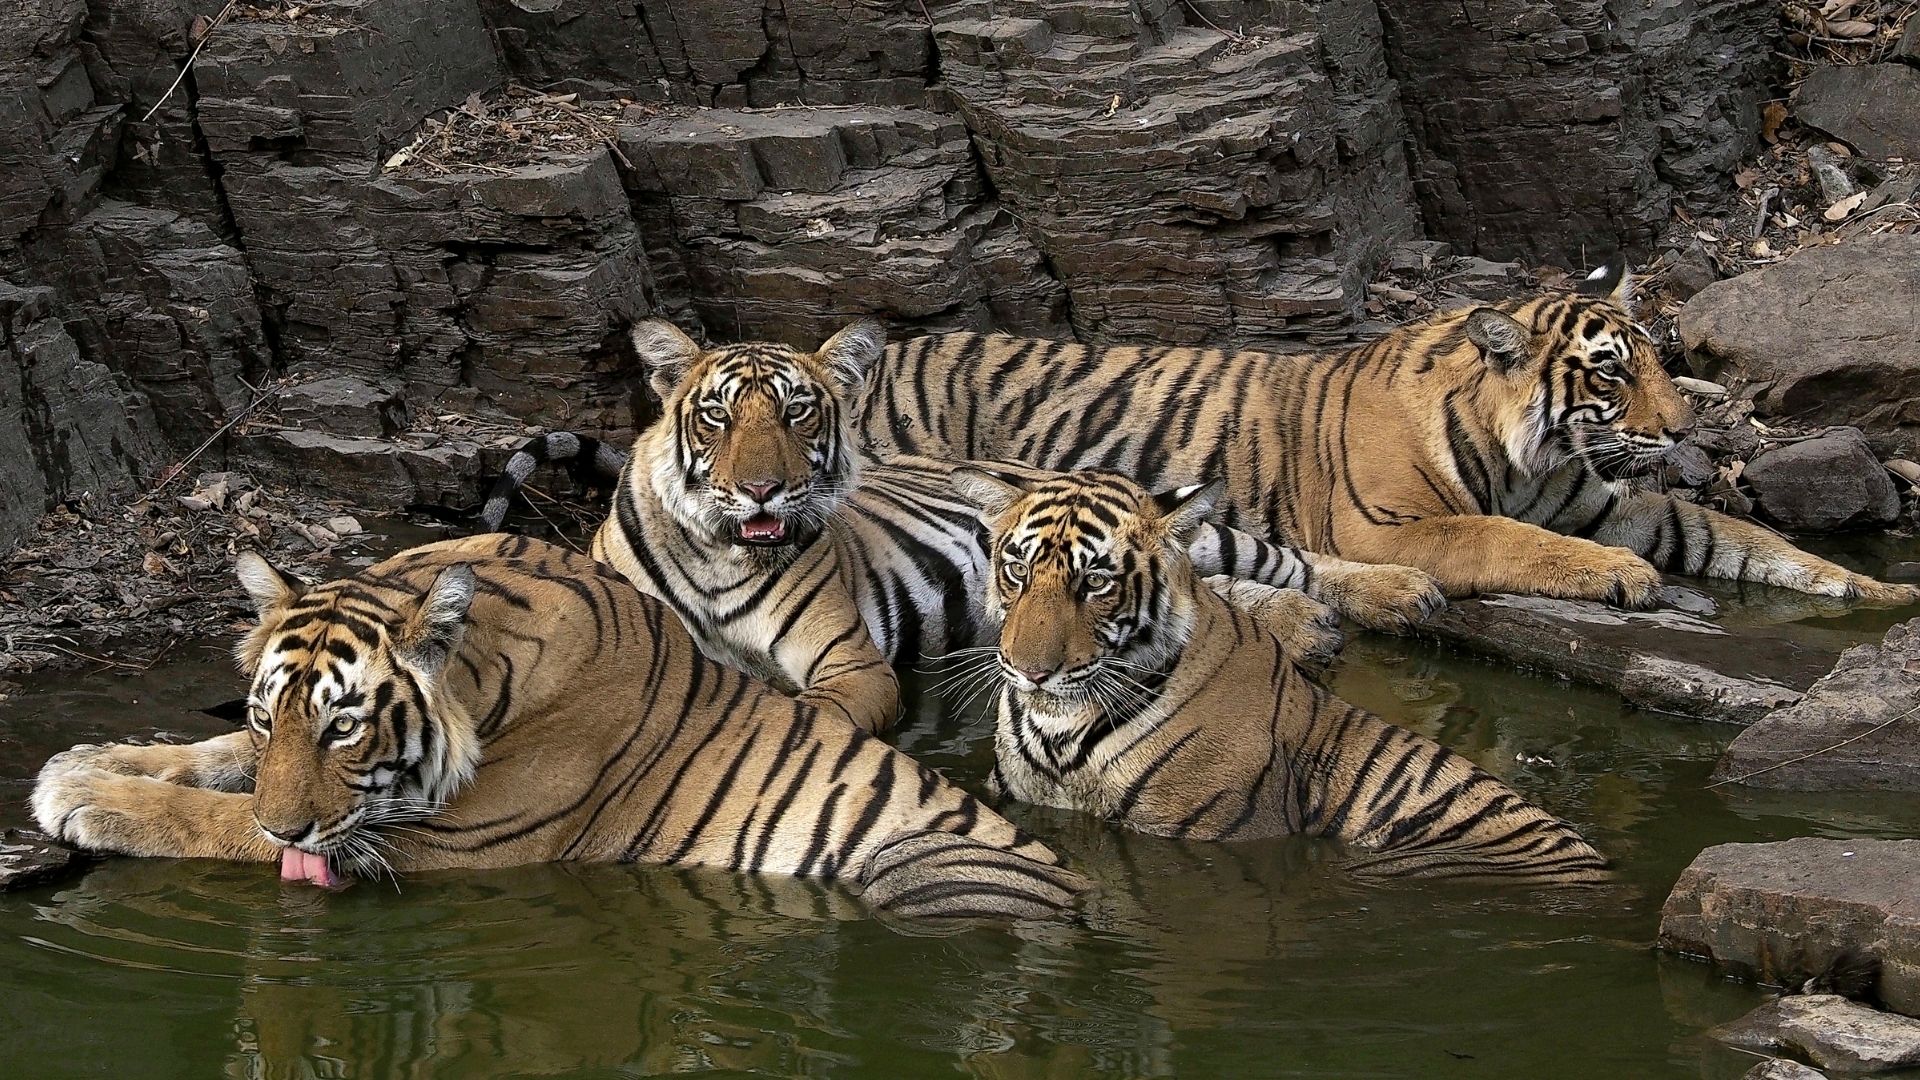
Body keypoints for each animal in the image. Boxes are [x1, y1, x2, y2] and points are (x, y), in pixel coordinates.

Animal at [30, 530, 1090, 914]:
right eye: (269, 720)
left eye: (344, 730)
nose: (290, 829)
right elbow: (213, 763)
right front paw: (93, 756)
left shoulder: (439, 842)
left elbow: (217, 821)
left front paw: (82, 796)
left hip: (933, 868)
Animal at [472, 319, 1443, 730]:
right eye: (717, 416)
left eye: (796, 412)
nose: (761, 492)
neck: (718, 555)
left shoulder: (848, 664)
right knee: (1220, 592)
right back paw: (1310, 630)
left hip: (1195, 531)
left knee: (1286, 558)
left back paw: (1402, 595)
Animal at [860, 263, 1920, 607]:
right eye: (1613, 373)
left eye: (1661, 361)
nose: (1683, 425)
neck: (1530, 456)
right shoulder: (1387, 521)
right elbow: (1505, 538)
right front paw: (1618, 578)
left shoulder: (1604, 501)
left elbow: (1735, 535)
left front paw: (1869, 592)